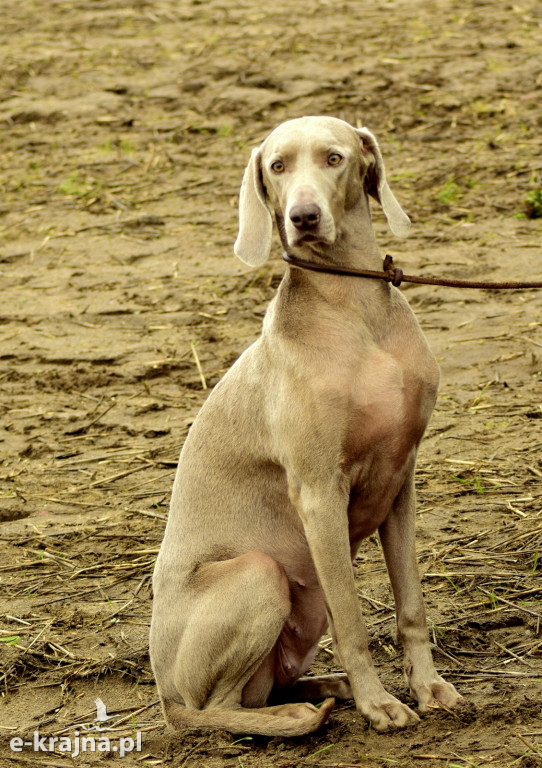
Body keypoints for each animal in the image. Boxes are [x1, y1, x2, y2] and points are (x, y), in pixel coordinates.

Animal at [151, 115, 466, 736]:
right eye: (277, 166)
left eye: (333, 158)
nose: (303, 217)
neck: (355, 304)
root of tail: (163, 692)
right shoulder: (320, 492)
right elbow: (353, 620)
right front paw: (379, 705)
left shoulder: (401, 482)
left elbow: (411, 605)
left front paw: (428, 687)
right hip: (258, 573)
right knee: (220, 708)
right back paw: (303, 712)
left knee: (263, 689)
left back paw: (328, 689)